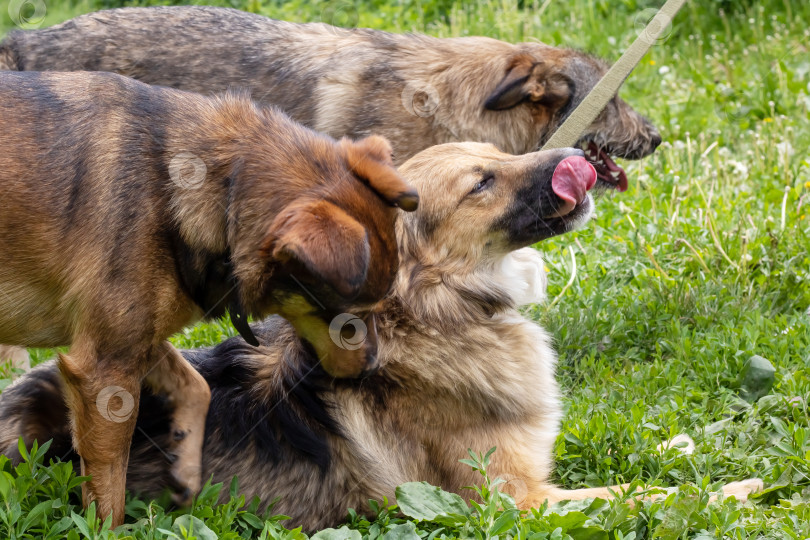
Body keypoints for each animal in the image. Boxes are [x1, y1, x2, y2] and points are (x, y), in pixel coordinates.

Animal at [0, 70, 416, 528]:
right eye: (348, 322)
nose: (372, 369)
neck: (221, 185)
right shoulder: (105, 369)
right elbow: (109, 482)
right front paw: (106, 530)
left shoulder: (140, 340)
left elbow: (195, 384)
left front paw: (184, 463)